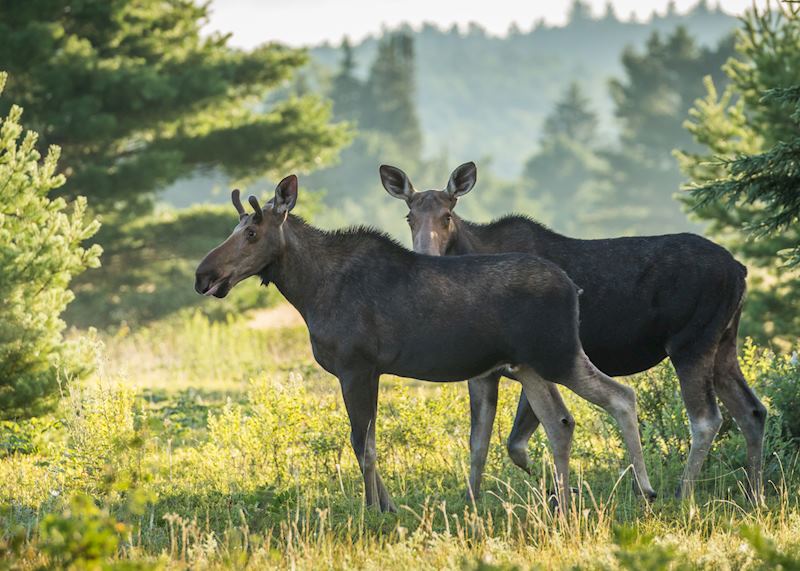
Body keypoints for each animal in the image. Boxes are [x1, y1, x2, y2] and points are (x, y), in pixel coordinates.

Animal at [195, 175, 656, 512]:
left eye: (252, 233)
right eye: (236, 229)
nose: (204, 274)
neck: (309, 291)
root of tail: (572, 287)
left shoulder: (356, 366)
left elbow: (362, 444)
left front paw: (373, 510)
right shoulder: (366, 371)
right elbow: (367, 441)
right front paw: (387, 506)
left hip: (558, 354)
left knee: (621, 396)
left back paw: (645, 489)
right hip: (529, 365)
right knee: (559, 422)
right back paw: (562, 501)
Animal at [380, 161, 766, 502]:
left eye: (447, 216)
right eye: (409, 217)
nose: (425, 256)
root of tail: (741, 269)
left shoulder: (531, 363)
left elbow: (520, 441)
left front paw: (559, 490)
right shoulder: (488, 372)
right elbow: (486, 442)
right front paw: (477, 500)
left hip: (691, 343)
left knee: (706, 419)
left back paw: (683, 494)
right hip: (724, 344)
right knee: (753, 410)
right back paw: (753, 493)